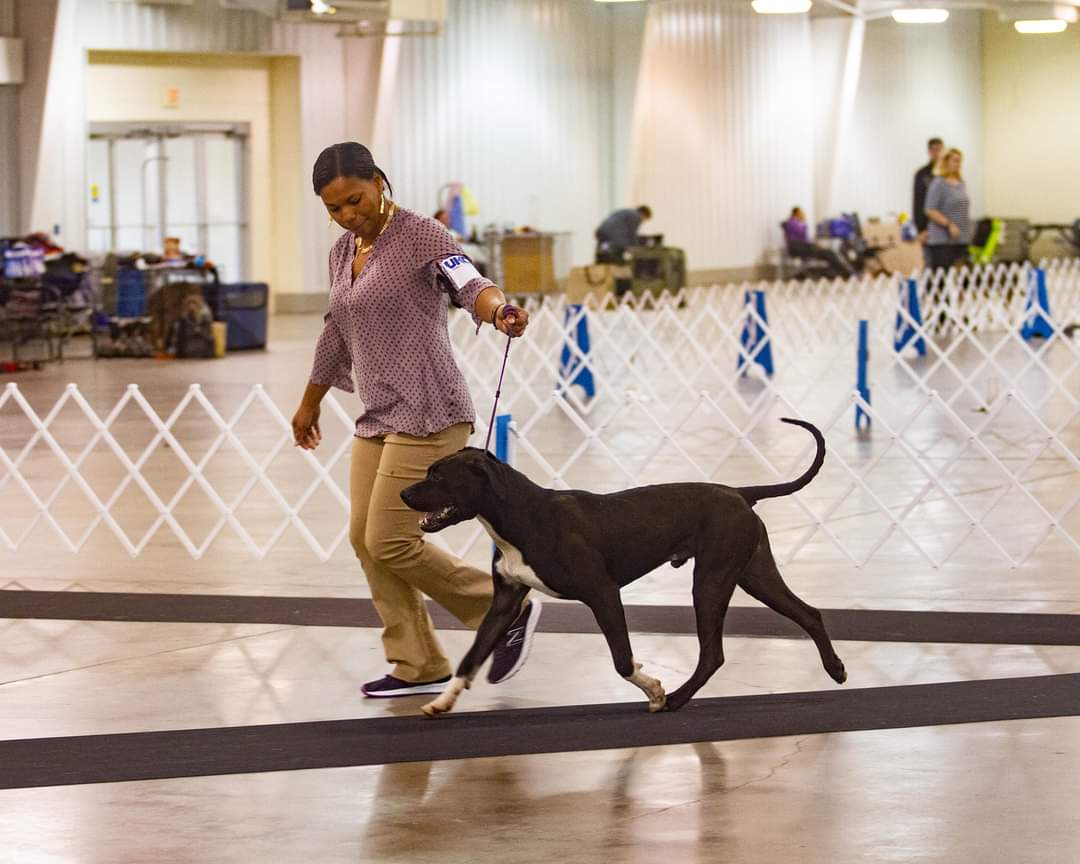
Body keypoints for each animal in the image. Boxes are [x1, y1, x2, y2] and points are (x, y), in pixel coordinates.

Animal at [401, 419, 846, 717]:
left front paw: (654, 689)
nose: (403, 493)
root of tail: (739, 492)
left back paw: (676, 699)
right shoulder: (504, 602)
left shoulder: (602, 593)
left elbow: (622, 659)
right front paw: (442, 700)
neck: (522, 517)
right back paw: (836, 669)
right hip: (754, 573)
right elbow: (473, 655)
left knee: (713, 654)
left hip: (711, 581)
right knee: (808, 613)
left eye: (438, 476)